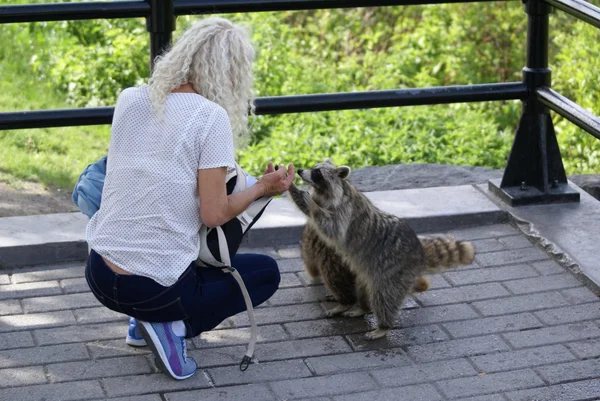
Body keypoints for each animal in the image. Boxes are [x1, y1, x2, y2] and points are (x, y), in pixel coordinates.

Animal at [288, 158, 476, 340]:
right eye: (313, 167)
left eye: (317, 172)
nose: (299, 171)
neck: (328, 191)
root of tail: (420, 254)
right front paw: (291, 185)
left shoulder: (345, 211)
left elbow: (332, 226)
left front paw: (308, 202)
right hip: (366, 273)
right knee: (364, 290)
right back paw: (362, 307)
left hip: (393, 273)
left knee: (383, 298)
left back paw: (382, 325)